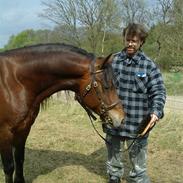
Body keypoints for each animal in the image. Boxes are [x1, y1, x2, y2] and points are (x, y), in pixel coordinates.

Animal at [0, 43, 124, 182]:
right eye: (105, 86)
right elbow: (9, 167)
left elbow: (20, 160)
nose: (120, 118)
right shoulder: (5, 133)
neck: (15, 81)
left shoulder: (24, 129)